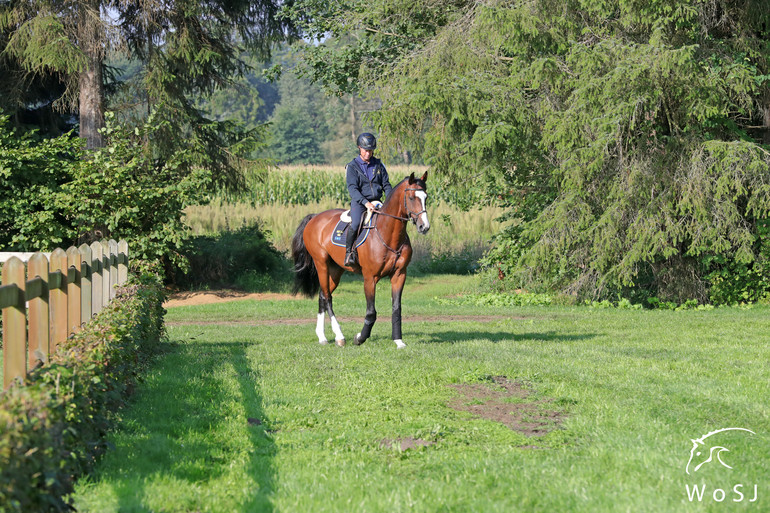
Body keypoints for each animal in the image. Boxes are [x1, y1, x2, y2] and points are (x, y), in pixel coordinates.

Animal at [292, 172, 428, 348]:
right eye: (411, 197)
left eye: (426, 197)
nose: (424, 227)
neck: (387, 233)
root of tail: (315, 217)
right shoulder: (370, 278)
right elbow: (371, 312)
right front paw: (360, 338)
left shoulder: (399, 275)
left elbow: (396, 308)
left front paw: (398, 341)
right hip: (321, 264)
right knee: (327, 297)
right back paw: (339, 336)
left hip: (335, 270)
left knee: (322, 295)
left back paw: (322, 336)